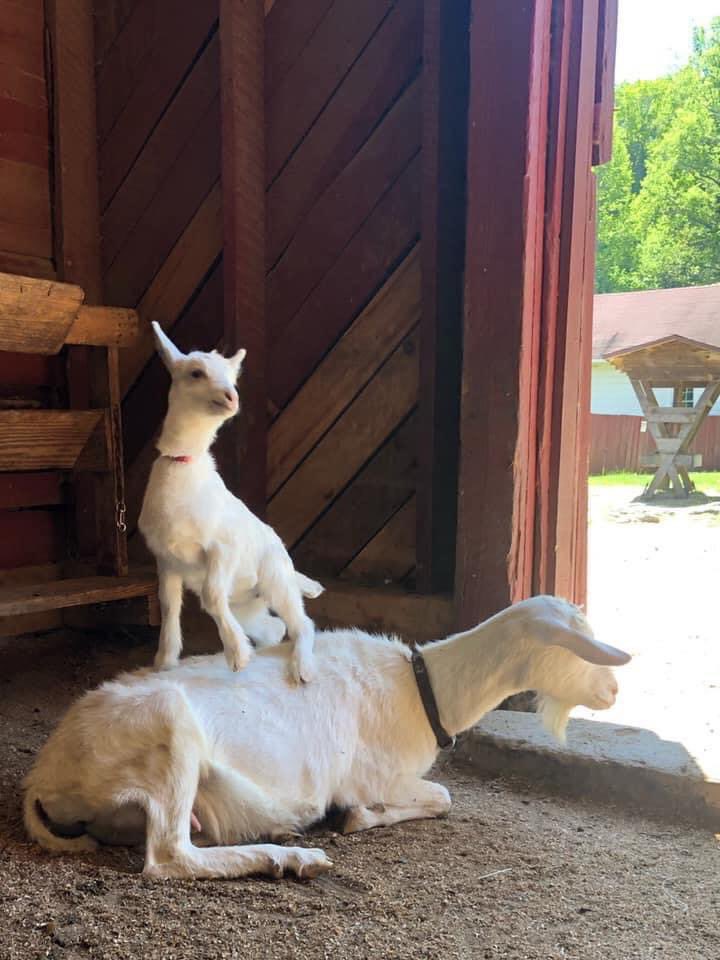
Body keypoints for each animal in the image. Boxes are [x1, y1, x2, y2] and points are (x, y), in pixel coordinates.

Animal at [24, 596, 630, 881]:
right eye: (578, 646)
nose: (614, 691)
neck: (423, 687)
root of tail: (42, 779)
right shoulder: (378, 775)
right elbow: (441, 796)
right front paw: (358, 816)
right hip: (167, 732)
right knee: (169, 856)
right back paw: (293, 857)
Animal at [138, 323, 321, 683]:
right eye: (196, 372)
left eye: (232, 378)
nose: (231, 397)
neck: (183, 464)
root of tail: (292, 571)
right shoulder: (166, 560)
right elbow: (168, 605)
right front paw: (164, 661)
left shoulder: (223, 547)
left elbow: (210, 597)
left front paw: (237, 655)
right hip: (248, 605)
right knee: (274, 628)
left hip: (276, 577)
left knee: (302, 623)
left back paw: (302, 668)